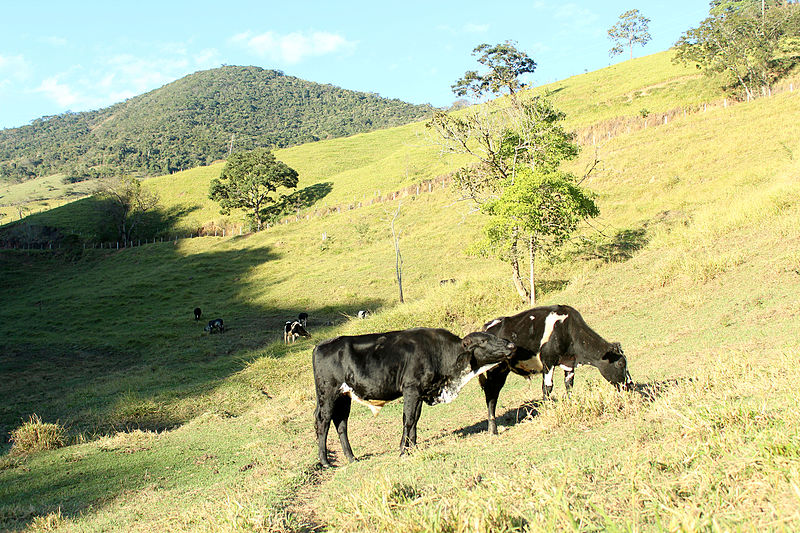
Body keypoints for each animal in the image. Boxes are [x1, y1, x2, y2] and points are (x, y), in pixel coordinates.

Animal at [310, 324, 516, 466]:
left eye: (492, 336)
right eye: (483, 341)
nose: (511, 345)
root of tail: (321, 345)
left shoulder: (420, 393)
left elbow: (415, 419)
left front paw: (413, 447)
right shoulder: (411, 389)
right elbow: (408, 419)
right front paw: (403, 450)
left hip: (344, 397)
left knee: (341, 423)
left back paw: (352, 457)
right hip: (328, 393)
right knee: (323, 421)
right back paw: (325, 461)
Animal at [478, 306, 636, 434]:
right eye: (621, 363)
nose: (630, 385)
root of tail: (487, 327)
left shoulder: (569, 363)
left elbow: (569, 385)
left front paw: (571, 405)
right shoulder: (548, 361)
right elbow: (547, 388)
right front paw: (548, 411)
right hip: (496, 370)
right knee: (491, 394)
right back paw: (493, 429)